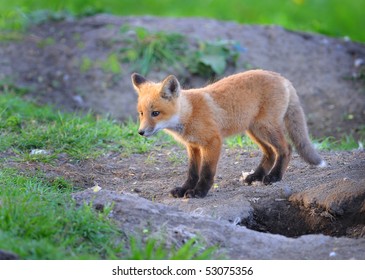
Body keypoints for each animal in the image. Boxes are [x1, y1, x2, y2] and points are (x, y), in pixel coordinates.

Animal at [130, 69, 324, 199]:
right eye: (141, 113)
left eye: (155, 113)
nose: (141, 132)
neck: (189, 113)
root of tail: (281, 77)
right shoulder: (193, 147)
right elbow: (192, 173)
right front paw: (184, 189)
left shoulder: (212, 142)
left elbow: (206, 172)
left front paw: (199, 192)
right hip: (254, 130)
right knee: (269, 152)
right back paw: (256, 176)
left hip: (265, 128)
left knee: (286, 149)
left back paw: (274, 177)